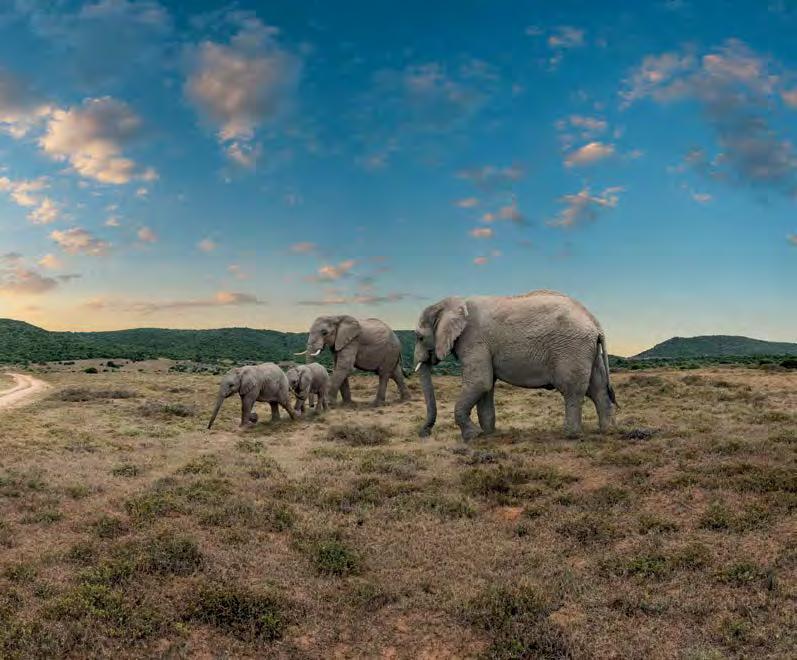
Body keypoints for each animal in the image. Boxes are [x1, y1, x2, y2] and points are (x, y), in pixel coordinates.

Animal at [414, 290, 620, 440]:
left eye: (419, 337)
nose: (424, 433)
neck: (451, 302)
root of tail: (594, 322)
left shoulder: (473, 340)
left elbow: (480, 382)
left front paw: (472, 436)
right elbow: (486, 386)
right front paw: (487, 434)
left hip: (572, 348)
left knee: (572, 389)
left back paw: (571, 435)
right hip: (589, 351)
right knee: (598, 388)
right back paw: (607, 431)